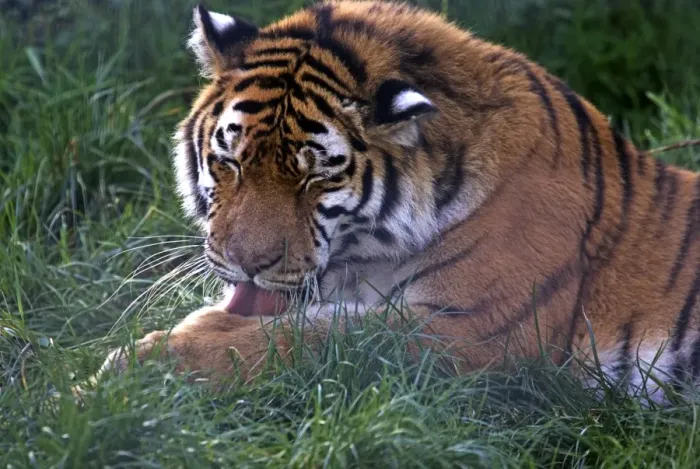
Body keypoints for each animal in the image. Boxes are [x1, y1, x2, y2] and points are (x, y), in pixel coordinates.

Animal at [97, 0, 700, 403]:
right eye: (231, 162)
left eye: (316, 178)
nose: (248, 264)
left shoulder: (482, 330)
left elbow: (321, 337)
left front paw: (135, 367)